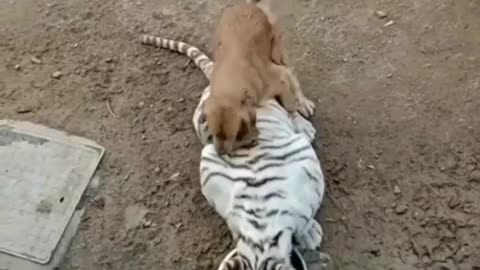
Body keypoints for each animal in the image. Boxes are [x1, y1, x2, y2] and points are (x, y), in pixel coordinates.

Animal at [205, 0, 316, 154]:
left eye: (233, 135)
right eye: (214, 133)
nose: (220, 153)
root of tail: (249, 5)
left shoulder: (278, 77)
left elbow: (289, 105)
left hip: (277, 52)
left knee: (290, 73)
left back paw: (303, 101)